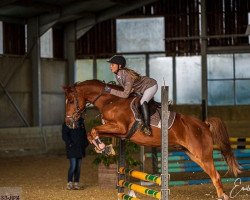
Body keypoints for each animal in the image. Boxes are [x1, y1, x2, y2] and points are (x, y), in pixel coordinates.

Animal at [63, 79, 241, 199]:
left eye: (71, 100)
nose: (69, 122)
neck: (112, 100)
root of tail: (204, 125)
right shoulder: (118, 132)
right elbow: (92, 133)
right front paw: (105, 148)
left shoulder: (120, 128)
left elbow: (93, 130)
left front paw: (103, 148)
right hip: (193, 155)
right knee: (213, 175)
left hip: (202, 154)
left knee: (216, 175)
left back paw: (223, 196)